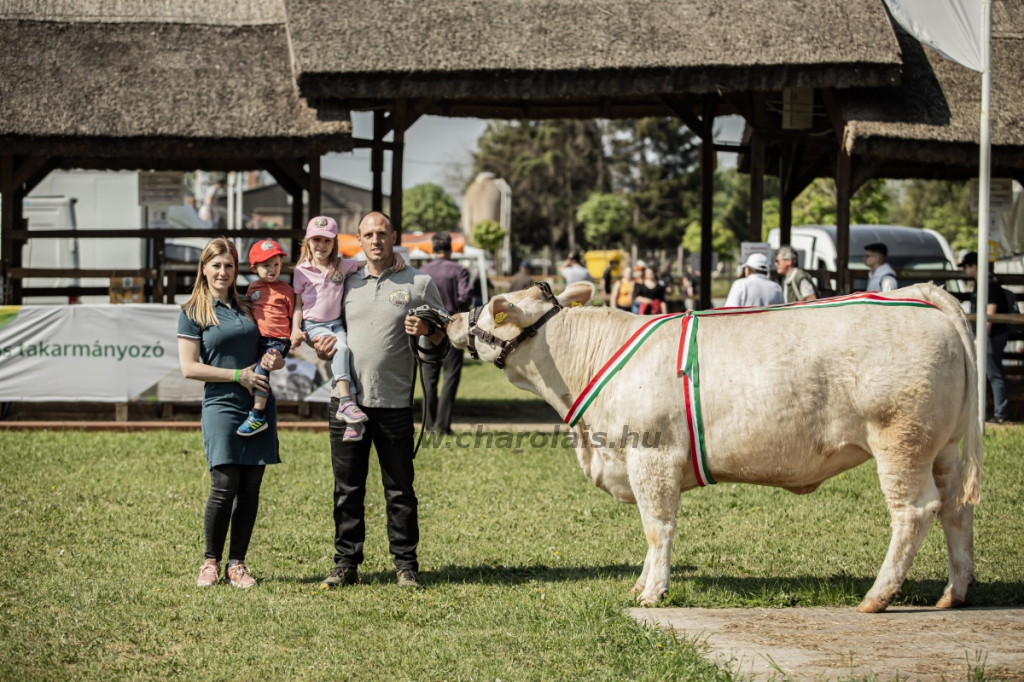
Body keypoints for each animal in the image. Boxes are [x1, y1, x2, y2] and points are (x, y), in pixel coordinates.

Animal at [450, 278, 983, 606]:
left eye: (492, 308)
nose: (452, 318)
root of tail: (918, 295)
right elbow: (651, 531)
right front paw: (641, 584)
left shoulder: (651, 455)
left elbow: (656, 527)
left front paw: (653, 593)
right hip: (944, 448)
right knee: (957, 508)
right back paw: (953, 593)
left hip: (900, 440)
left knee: (914, 511)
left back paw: (877, 596)